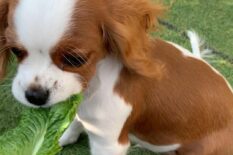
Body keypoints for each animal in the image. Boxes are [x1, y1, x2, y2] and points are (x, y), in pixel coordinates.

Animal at [0, 0, 233, 155]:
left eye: (75, 59)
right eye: (15, 50)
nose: (35, 96)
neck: (93, 83)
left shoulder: (108, 143)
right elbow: (75, 120)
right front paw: (63, 136)